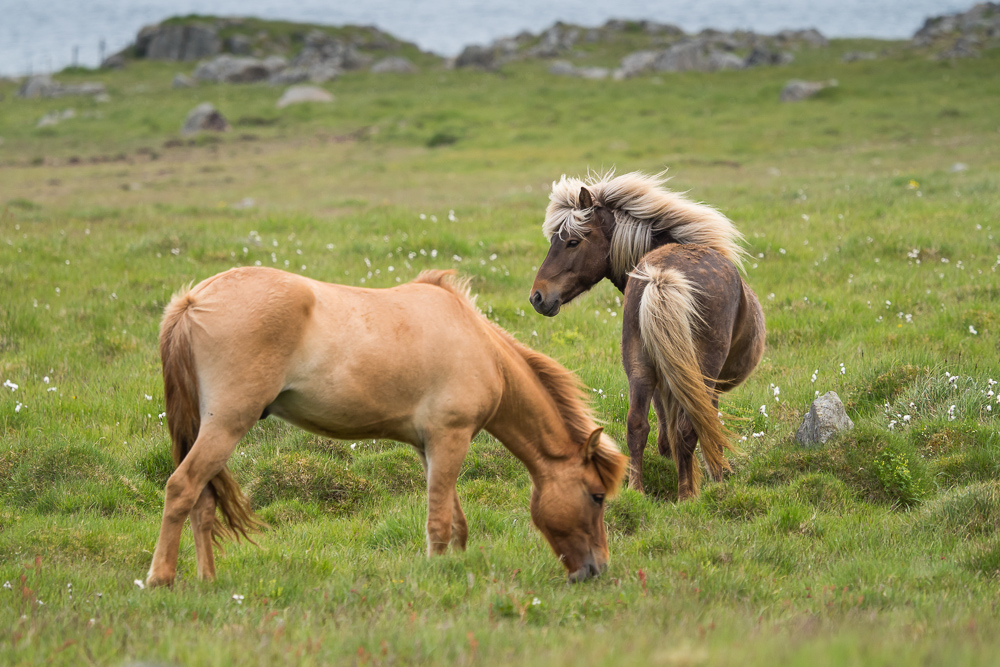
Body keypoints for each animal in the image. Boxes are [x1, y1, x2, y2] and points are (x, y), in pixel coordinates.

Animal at [146, 268, 624, 588]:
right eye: (596, 496)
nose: (596, 569)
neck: (479, 346)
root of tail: (193, 300)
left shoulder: (430, 447)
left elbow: (455, 519)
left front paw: (456, 567)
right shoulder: (450, 439)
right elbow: (439, 522)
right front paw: (437, 573)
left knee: (203, 501)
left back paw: (207, 580)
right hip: (227, 425)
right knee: (182, 488)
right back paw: (160, 579)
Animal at [528, 172, 760, 500]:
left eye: (572, 242)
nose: (537, 297)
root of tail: (662, 277)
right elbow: (708, 424)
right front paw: (719, 472)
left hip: (638, 365)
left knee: (637, 424)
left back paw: (636, 490)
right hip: (702, 369)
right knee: (689, 426)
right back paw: (687, 496)